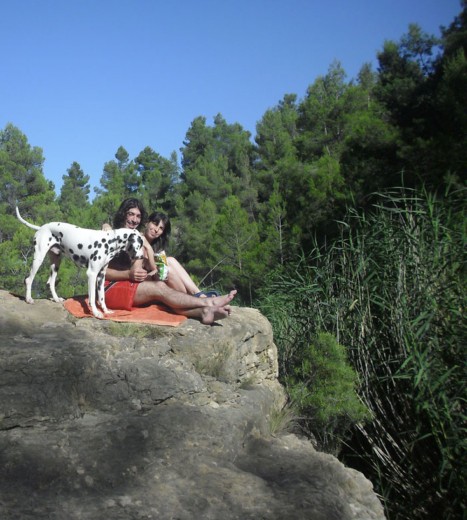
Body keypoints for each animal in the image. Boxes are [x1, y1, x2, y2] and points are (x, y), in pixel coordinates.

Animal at [15, 206, 144, 318]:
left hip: (56, 263)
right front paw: (96, 313)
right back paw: (29, 299)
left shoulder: (101, 276)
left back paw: (56, 299)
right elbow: (92, 298)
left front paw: (106, 311)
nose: (143, 256)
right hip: (38, 259)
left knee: (50, 283)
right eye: (141, 243)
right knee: (28, 280)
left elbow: (101, 297)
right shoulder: (92, 274)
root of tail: (41, 227)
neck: (110, 240)